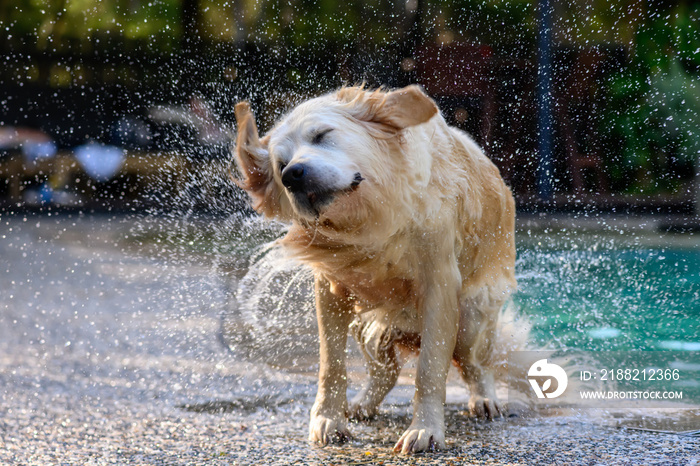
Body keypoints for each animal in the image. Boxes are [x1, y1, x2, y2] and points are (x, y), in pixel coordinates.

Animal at [235, 85, 520, 454]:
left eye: (321, 135)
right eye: (280, 164)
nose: (292, 175)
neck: (371, 221)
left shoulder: (440, 287)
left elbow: (430, 369)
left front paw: (425, 430)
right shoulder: (330, 289)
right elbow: (331, 364)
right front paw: (328, 420)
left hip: (470, 315)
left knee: (476, 363)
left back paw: (485, 399)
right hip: (368, 320)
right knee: (387, 372)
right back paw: (362, 404)